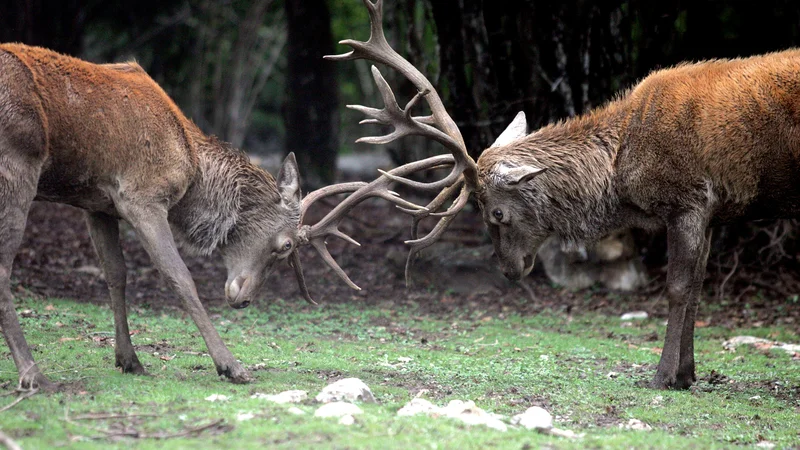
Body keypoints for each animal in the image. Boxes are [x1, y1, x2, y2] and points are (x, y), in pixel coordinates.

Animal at [0, 42, 438, 392]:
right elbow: (180, 277)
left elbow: (116, 274)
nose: (244, 300)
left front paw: (129, 360)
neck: (192, 171)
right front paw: (231, 366)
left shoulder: (98, 202)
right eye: (285, 246)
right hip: (18, 164)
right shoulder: (141, 195)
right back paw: (33, 373)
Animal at [328, 0, 800, 390]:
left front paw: (663, 376)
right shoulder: (713, 212)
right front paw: (687, 374)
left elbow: (679, 288)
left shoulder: (688, 200)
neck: (621, 172)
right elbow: (700, 287)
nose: (509, 269)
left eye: (496, 213)